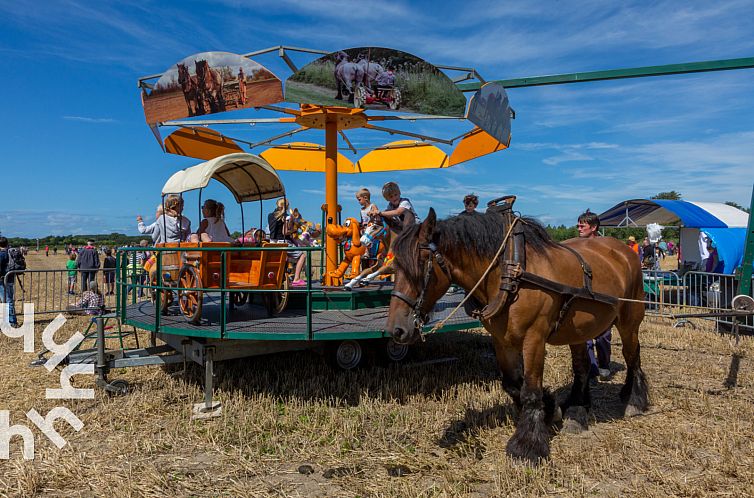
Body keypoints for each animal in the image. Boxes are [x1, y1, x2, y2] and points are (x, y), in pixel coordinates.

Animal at [388, 207, 648, 462]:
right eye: (395, 266)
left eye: (422, 263)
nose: (396, 329)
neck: (509, 271)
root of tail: (623, 250)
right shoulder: (502, 340)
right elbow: (513, 384)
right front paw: (550, 408)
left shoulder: (534, 338)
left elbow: (530, 390)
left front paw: (528, 444)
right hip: (578, 328)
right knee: (582, 366)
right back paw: (577, 409)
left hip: (629, 320)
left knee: (632, 356)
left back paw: (634, 400)